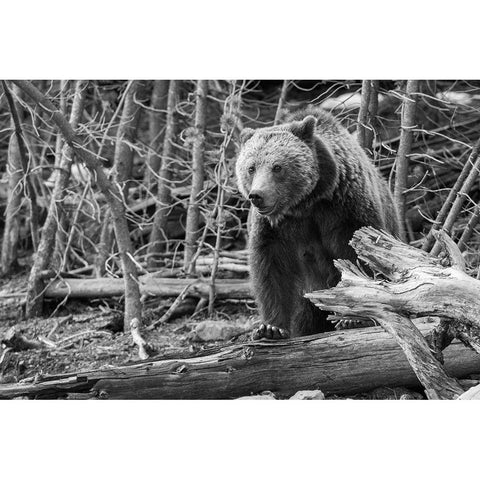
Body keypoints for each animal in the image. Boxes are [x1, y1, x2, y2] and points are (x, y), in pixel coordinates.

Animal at [235, 107, 398, 340]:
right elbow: (271, 270)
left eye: (277, 167)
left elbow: (357, 256)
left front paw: (354, 318)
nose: (257, 195)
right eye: (251, 167)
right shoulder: (274, 229)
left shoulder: (345, 209)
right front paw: (271, 328)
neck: (304, 203)